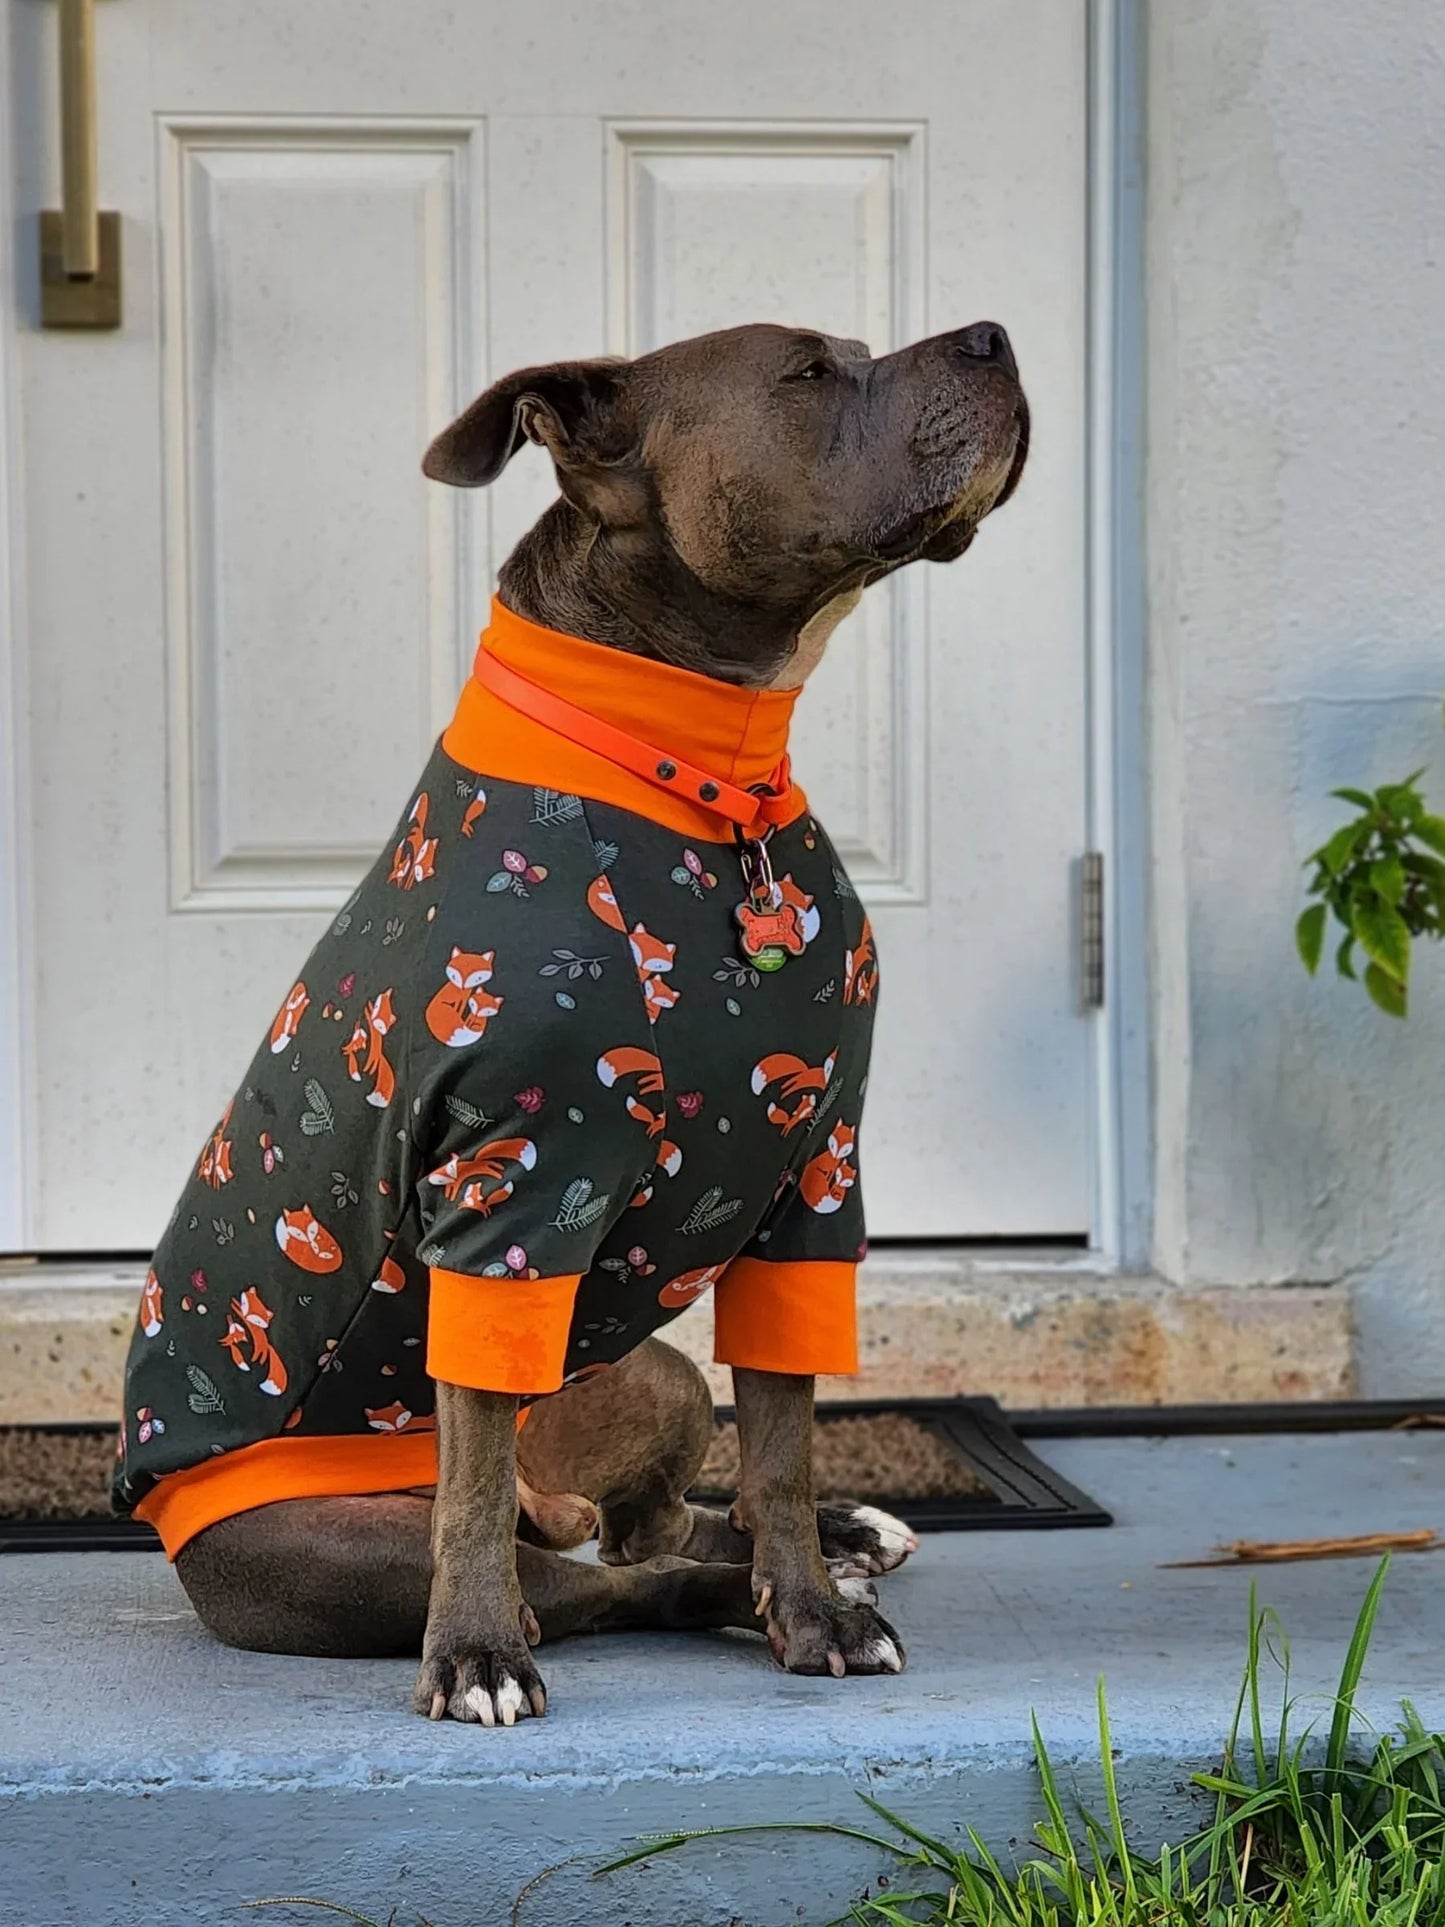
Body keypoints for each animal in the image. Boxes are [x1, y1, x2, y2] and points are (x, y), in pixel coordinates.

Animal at [113, 323, 1032, 1726]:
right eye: (806, 372)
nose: (993, 336)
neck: (709, 787)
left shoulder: (813, 1182)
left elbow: (781, 1445)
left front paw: (813, 1607)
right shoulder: (509, 1194)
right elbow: (476, 1487)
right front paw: (478, 1651)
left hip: (646, 1372)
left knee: (645, 1526)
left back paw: (835, 1544)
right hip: (346, 1553)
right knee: (594, 1574)